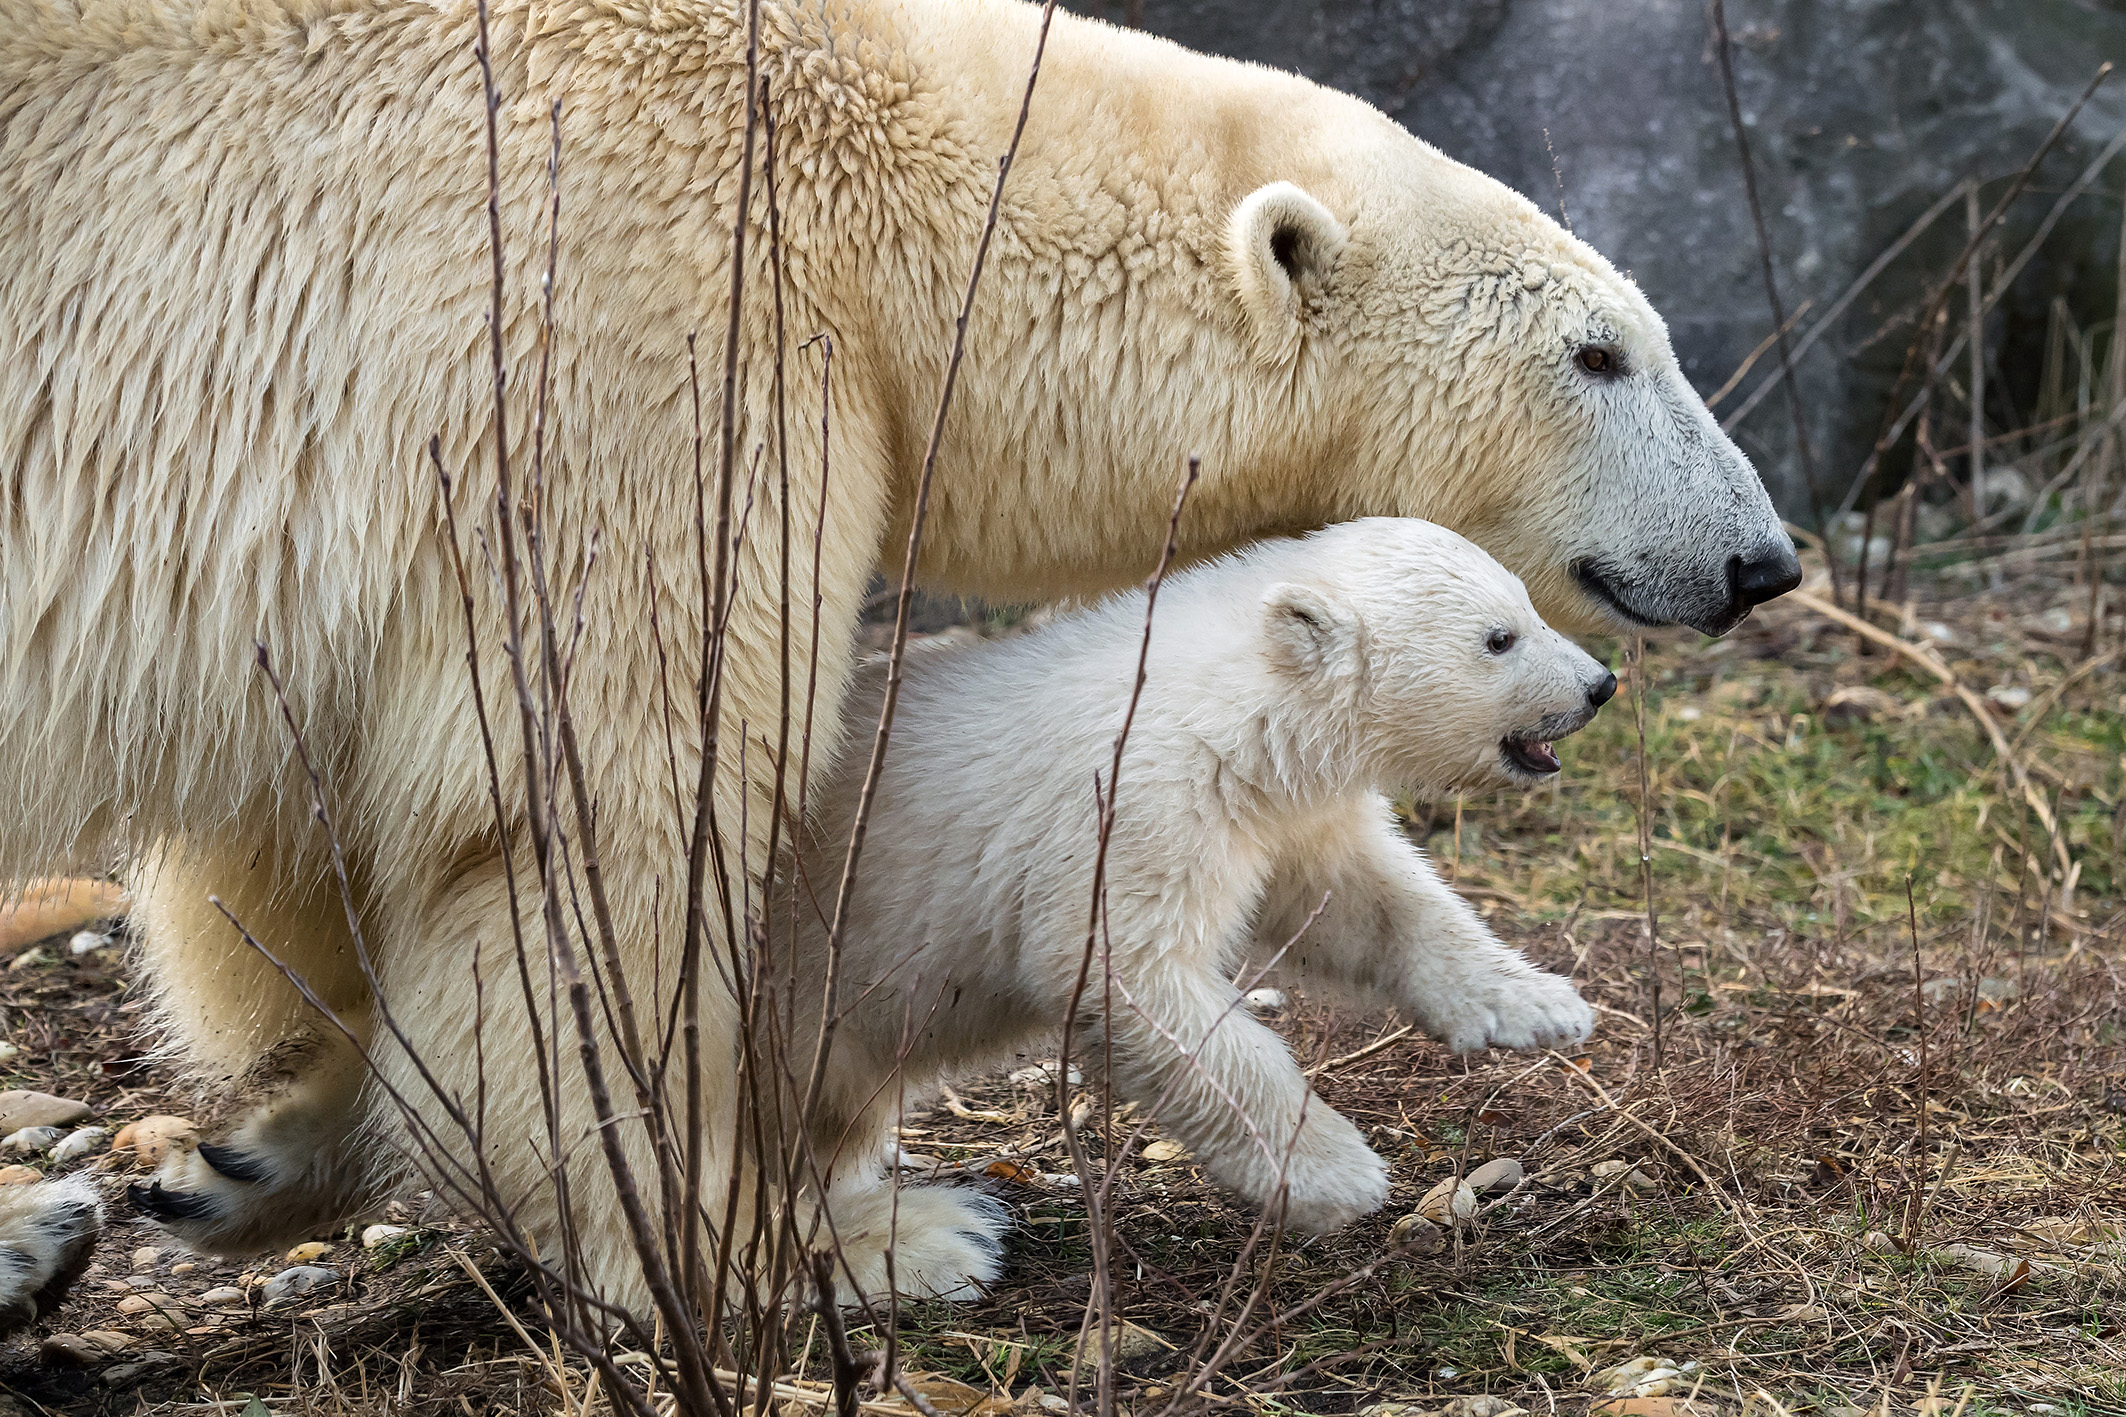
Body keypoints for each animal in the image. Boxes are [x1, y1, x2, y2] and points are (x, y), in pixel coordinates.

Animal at [0, 0, 1794, 1317]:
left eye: (1642, 334)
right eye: (1599, 351)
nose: (1759, 558)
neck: (862, 180)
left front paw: (264, 1147)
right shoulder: (635, 345)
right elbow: (597, 819)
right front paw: (809, 1237)